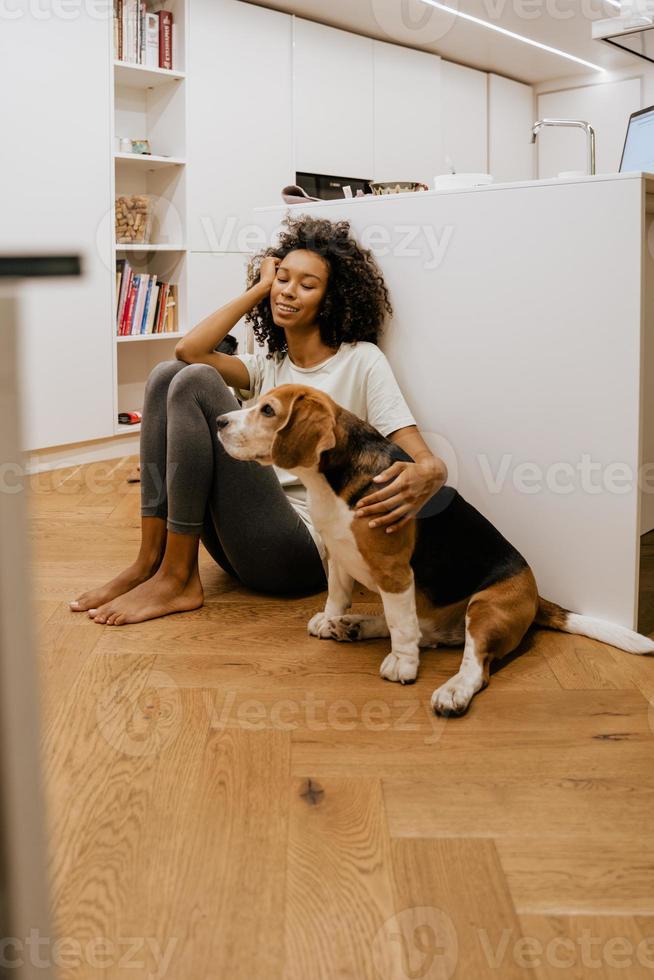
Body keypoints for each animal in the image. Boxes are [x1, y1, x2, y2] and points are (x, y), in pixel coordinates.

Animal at [217, 380, 654, 712]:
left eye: (268, 410)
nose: (220, 421)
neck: (329, 483)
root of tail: (536, 596)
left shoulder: (393, 571)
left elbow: (401, 624)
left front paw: (403, 666)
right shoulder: (339, 557)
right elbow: (337, 597)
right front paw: (332, 618)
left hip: (486, 607)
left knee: (473, 663)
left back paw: (452, 689)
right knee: (426, 630)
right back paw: (353, 625)